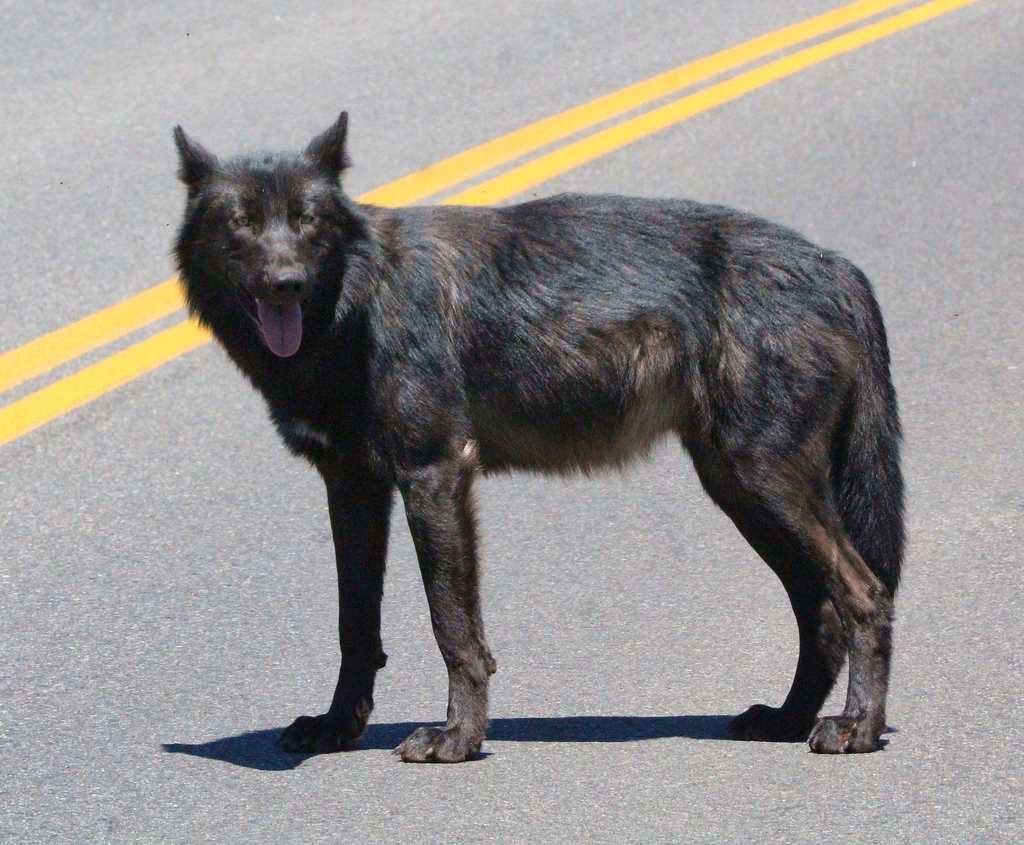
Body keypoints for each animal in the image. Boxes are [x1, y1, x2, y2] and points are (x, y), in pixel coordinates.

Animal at [173, 112, 903, 762]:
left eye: (308, 219)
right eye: (240, 221)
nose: (285, 283)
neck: (357, 303)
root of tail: (839, 266)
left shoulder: (435, 474)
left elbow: (453, 627)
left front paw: (458, 738)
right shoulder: (353, 485)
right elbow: (356, 627)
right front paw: (335, 729)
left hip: (767, 483)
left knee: (865, 594)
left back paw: (855, 729)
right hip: (742, 491)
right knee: (821, 609)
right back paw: (786, 719)